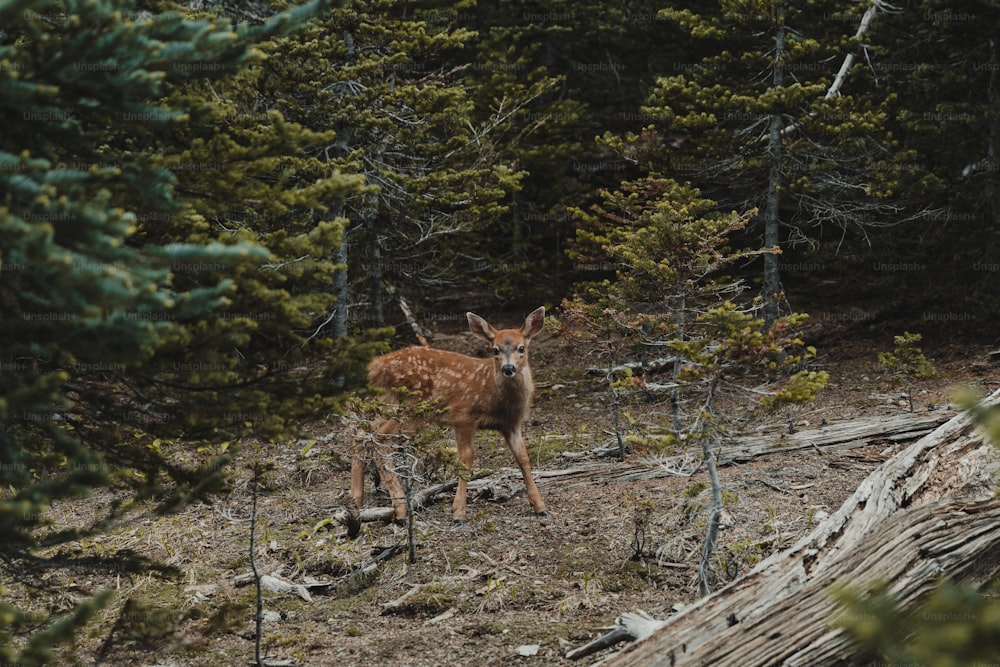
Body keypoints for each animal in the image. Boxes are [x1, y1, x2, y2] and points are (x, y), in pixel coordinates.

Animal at [352, 306, 552, 524]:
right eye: (495, 350)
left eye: (521, 348)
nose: (508, 368)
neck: (495, 397)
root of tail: (376, 365)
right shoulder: (463, 416)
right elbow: (466, 460)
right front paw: (459, 513)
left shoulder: (512, 425)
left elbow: (523, 458)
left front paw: (540, 506)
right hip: (410, 408)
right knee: (380, 437)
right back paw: (401, 508)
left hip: (389, 403)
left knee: (363, 431)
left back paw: (357, 501)